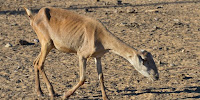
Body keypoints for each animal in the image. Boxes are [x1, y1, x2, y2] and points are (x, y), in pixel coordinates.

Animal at [24, 6, 159, 99]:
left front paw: (105, 97)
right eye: (144, 61)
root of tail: (34, 17)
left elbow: (101, 76)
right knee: (40, 64)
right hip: (46, 43)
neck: (100, 35)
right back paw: (52, 92)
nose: (157, 76)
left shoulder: (98, 57)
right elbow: (83, 78)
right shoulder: (82, 55)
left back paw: (40, 92)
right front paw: (66, 95)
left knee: (35, 62)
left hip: (47, 46)